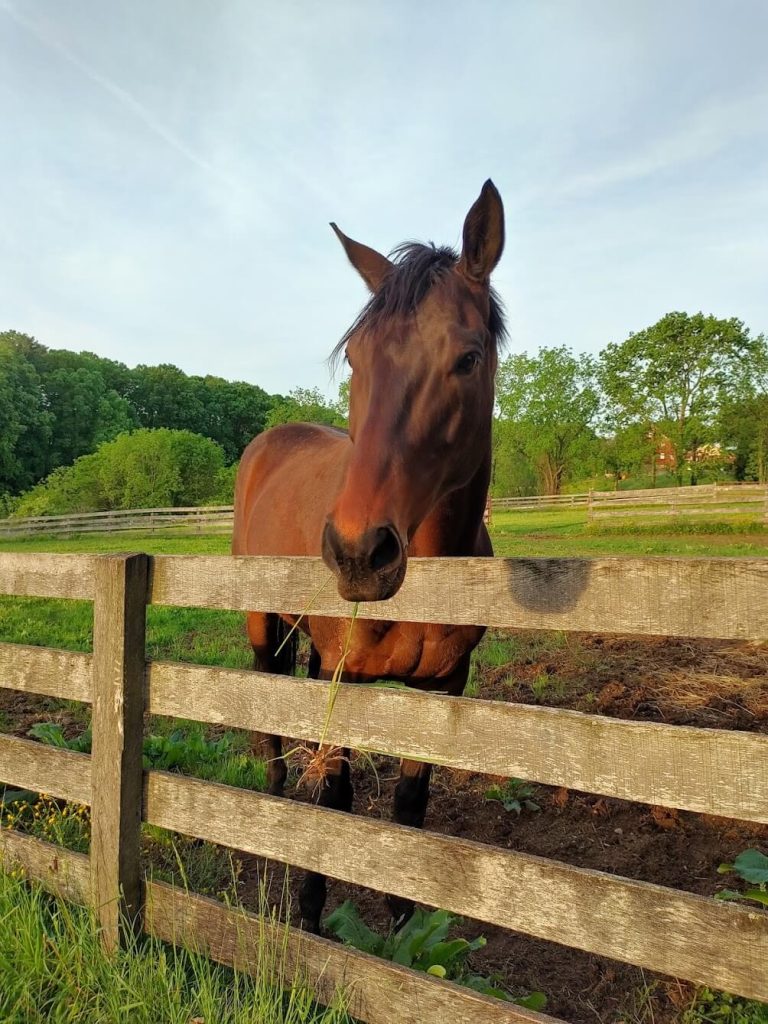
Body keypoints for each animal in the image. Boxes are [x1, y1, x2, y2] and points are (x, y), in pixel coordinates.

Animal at [231, 180, 507, 933]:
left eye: (468, 358)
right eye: (355, 358)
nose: (360, 552)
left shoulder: (445, 688)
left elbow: (410, 808)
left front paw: (406, 922)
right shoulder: (344, 679)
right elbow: (337, 802)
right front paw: (307, 917)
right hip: (262, 625)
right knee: (268, 709)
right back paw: (271, 801)